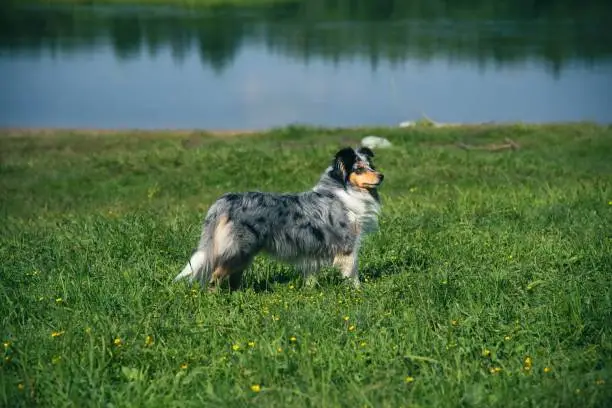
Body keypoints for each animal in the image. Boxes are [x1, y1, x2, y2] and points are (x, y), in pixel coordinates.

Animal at [172, 147, 382, 290]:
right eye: (359, 169)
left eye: (371, 166)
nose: (382, 176)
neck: (343, 191)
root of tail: (224, 201)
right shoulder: (347, 246)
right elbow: (352, 272)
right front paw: (357, 291)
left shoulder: (313, 250)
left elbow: (311, 275)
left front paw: (310, 290)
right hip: (236, 249)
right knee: (215, 276)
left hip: (244, 253)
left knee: (232, 277)